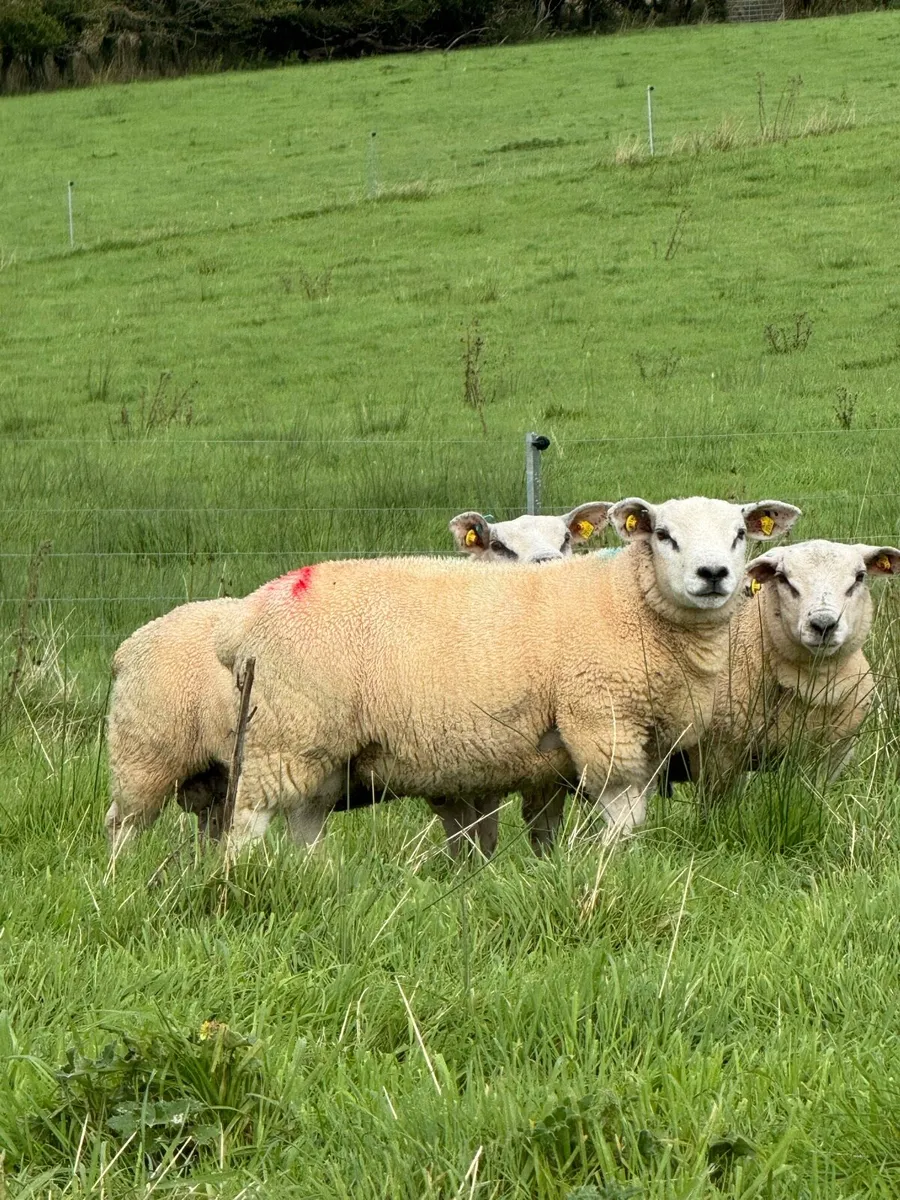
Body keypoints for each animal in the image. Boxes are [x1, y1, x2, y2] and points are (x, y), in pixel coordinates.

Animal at [104, 504, 610, 855]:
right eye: (500, 546)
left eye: (567, 539)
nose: (547, 566)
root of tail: (133, 641)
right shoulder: (459, 773)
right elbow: (474, 839)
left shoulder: (520, 770)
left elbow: (534, 833)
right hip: (149, 755)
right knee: (123, 825)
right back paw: (118, 878)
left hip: (214, 776)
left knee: (216, 826)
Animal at [214, 495, 801, 857]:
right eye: (663, 534)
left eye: (738, 535)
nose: (713, 574)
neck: (630, 602)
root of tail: (246, 617)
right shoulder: (599, 720)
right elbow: (626, 817)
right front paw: (604, 862)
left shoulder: (642, 739)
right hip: (286, 732)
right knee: (246, 821)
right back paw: (237, 881)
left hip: (319, 748)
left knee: (306, 823)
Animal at [686, 540, 900, 793]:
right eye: (782, 578)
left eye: (859, 577)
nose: (823, 624)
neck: (815, 680)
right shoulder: (719, 755)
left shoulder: (831, 757)